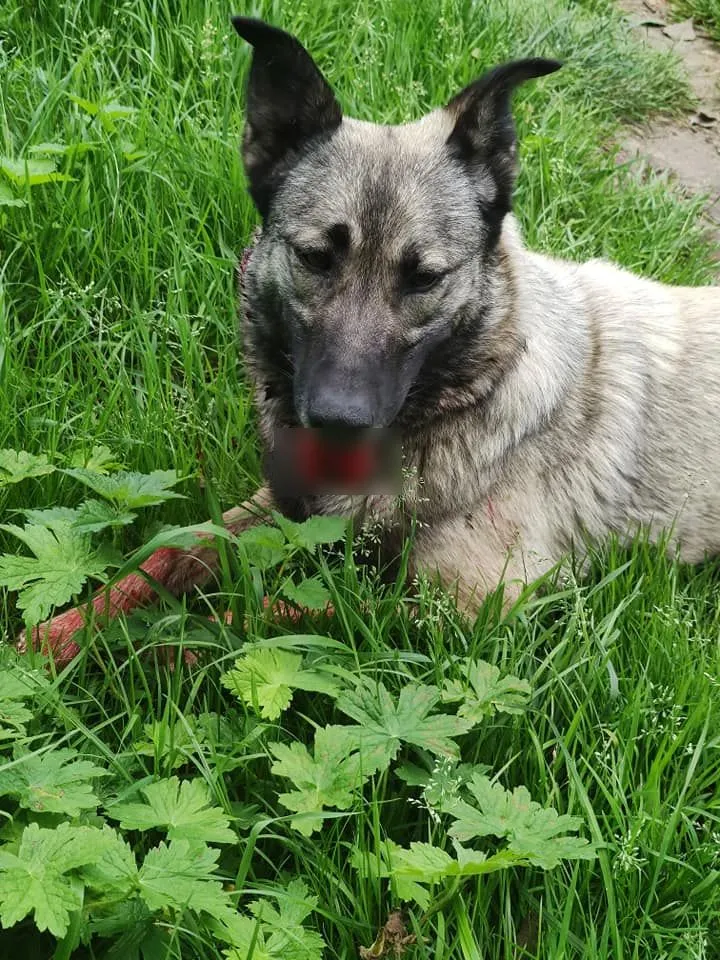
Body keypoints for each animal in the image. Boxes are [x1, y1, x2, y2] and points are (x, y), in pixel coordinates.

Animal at [19, 16, 716, 660]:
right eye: (315, 257)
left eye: (425, 277)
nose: (338, 420)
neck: (473, 387)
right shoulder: (275, 506)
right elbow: (167, 554)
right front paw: (64, 633)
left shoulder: (465, 614)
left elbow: (253, 626)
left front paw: (141, 648)